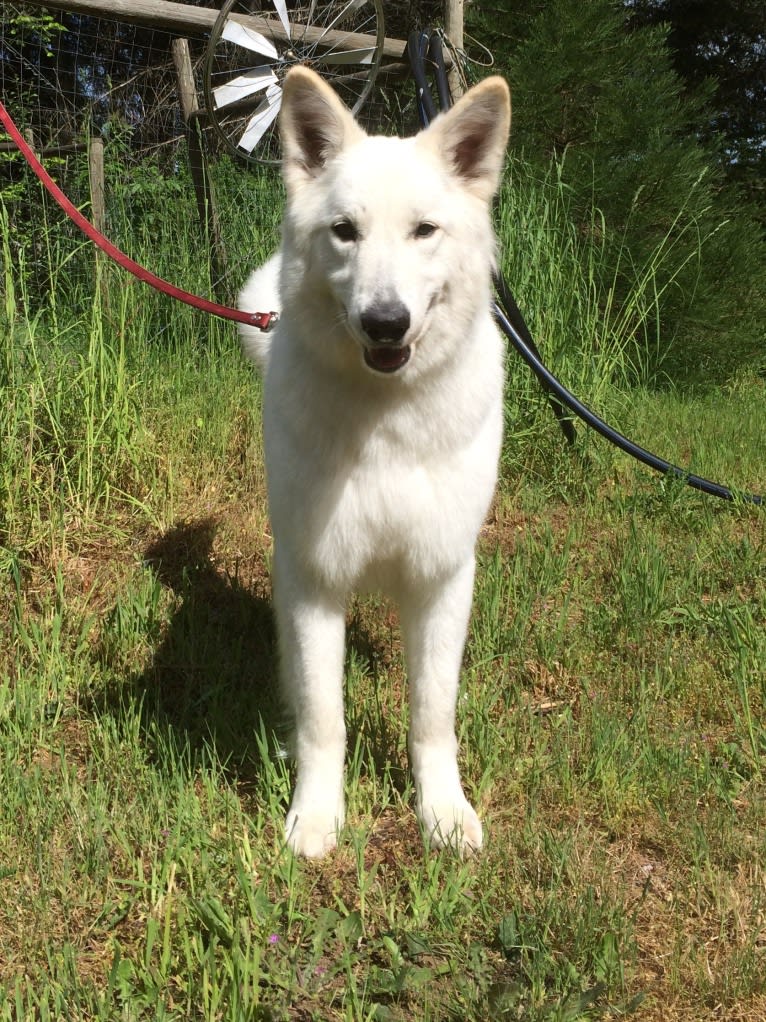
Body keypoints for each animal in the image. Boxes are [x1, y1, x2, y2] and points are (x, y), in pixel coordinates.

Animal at [243, 67, 512, 858]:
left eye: (424, 230)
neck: (386, 421)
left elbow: (432, 716)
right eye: (345, 232)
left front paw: (442, 812)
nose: (385, 323)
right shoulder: (316, 581)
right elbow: (323, 719)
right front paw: (317, 816)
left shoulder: (441, 579)